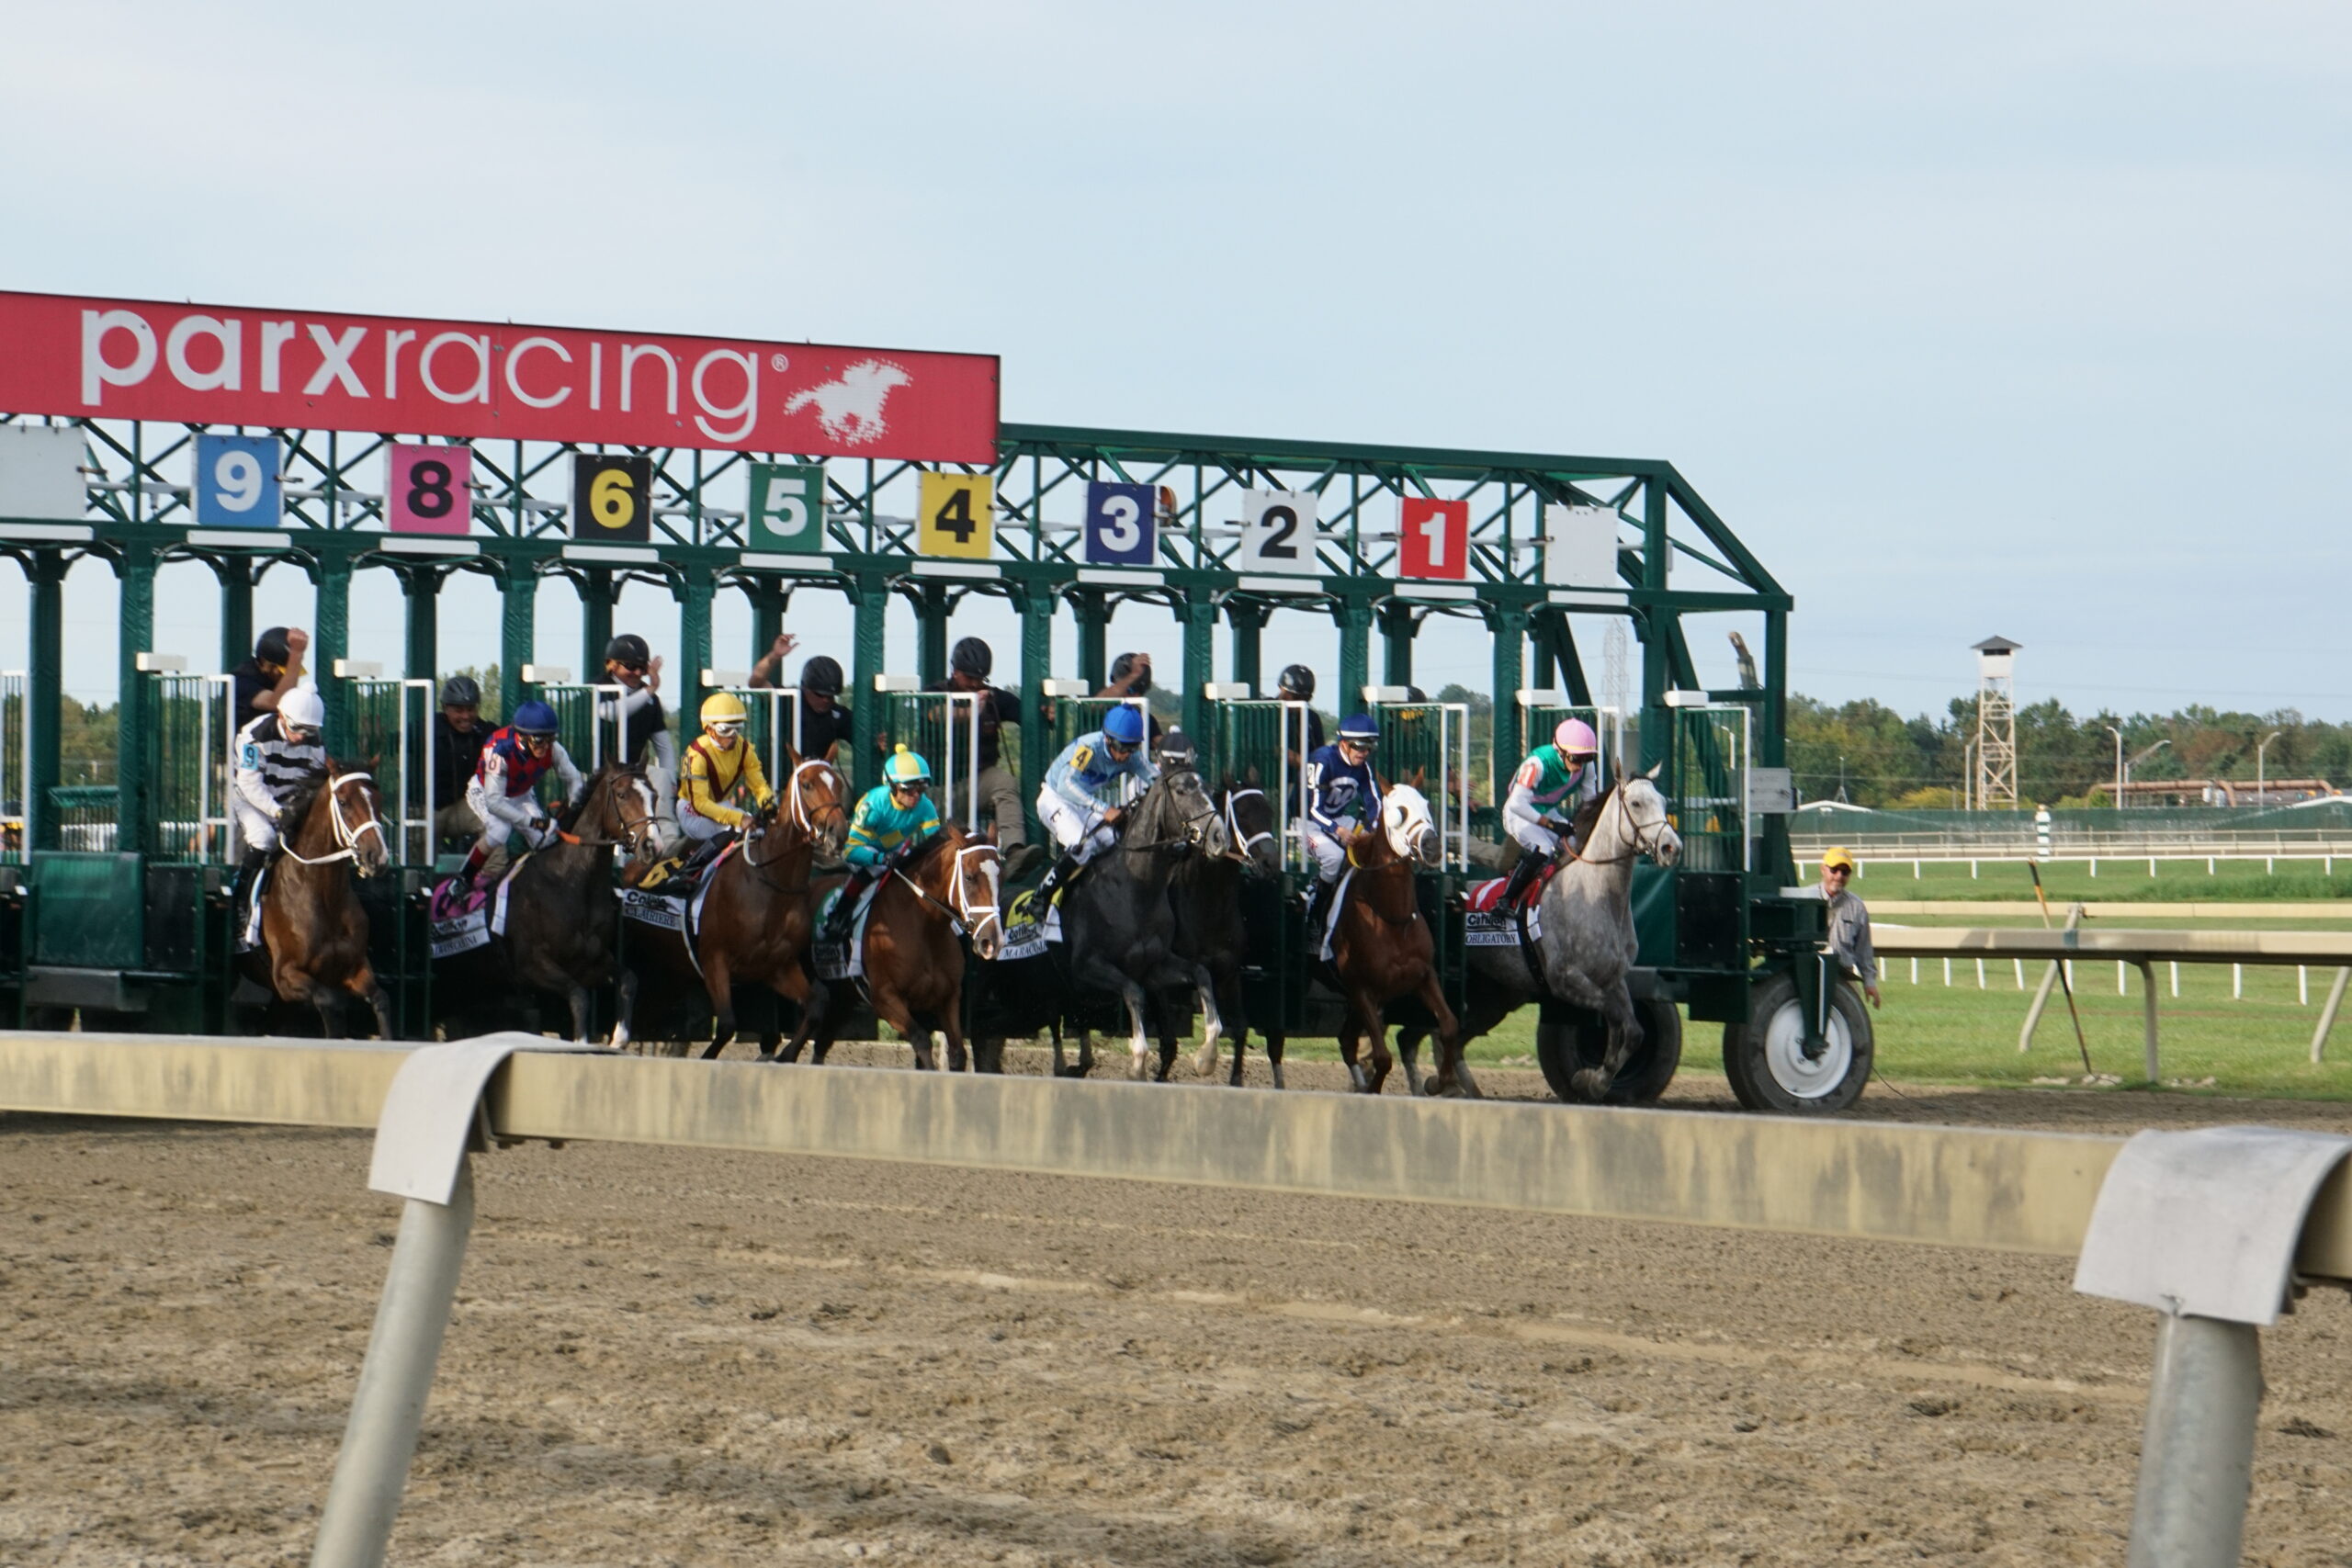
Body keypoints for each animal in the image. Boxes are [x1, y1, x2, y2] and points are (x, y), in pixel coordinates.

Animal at [237, 761, 395, 1043]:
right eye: (343, 802)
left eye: (378, 799)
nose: (377, 858)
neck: (324, 897)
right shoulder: (286, 976)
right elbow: (330, 1003)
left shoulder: (354, 968)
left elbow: (381, 999)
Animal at [625, 751, 846, 1066]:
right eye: (806, 784)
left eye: (837, 783)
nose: (838, 832)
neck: (771, 882)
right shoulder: (713, 959)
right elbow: (728, 1024)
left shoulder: (777, 966)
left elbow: (817, 1003)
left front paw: (784, 1055)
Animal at [786, 827, 1006, 1072]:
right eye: (969, 877)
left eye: (1001, 877)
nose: (992, 941)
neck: (925, 927)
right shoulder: (885, 997)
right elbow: (921, 1040)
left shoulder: (948, 997)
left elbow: (958, 1053)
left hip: (843, 995)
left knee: (821, 1038)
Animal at [1048, 766, 1232, 1086]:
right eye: (1182, 790)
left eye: (1209, 789)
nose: (1220, 837)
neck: (1136, 887)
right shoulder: (1087, 965)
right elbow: (1133, 992)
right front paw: (1137, 1064)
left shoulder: (1154, 967)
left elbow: (1201, 973)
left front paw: (1206, 1057)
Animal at [1326, 784, 1467, 1104]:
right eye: (1400, 813)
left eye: (1428, 805)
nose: (1432, 846)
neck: (1392, 919)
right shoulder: (1362, 989)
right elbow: (1382, 1056)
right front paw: (1373, 1090)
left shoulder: (1423, 976)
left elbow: (1450, 1025)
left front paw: (1440, 1082)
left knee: (1346, 1042)